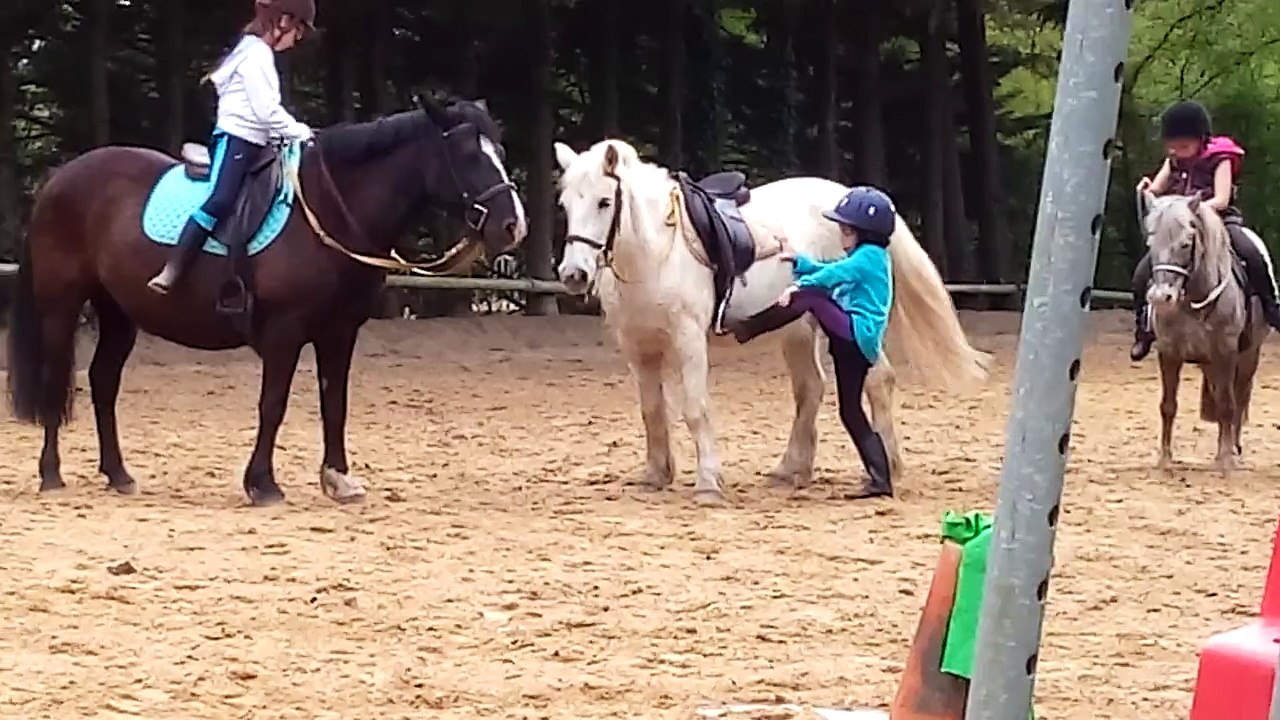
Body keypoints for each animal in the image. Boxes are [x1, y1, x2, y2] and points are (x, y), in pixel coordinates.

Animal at [6, 96, 526, 505]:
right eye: (466, 153)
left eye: (500, 151)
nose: (512, 226)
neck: (329, 213)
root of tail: (58, 179)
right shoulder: (284, 332)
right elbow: (272, 403)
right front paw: (262, 484)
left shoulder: (340, 332)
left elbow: (334, 403)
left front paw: (338, 479)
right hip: (62, 305)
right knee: (56, 379)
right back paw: (51, 475)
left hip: (118, 312)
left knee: (103, 382)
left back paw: (118, 475)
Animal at [553, 138, 990, 505]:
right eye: (565, 205)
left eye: (604, 202)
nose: (573, 274)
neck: (654, 252)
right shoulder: (638, 346)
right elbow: (651, 410)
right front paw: (656, 475)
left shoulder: (688, 339)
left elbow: (695, 408)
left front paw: (708, 484)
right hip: (798, 329)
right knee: (811, 388)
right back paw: (792, 469)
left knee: (878, 380)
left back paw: (887, 467)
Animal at [1140, 191, 1268, 472]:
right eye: (1150, 243)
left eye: (1186, 243)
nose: (1161, 298)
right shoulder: (1169, 352)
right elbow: (1168, 405)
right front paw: (1165, 459)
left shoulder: (1226, 353)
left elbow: (1228, 405)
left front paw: (1226, 460)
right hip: (1209, 363)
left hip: (1248, 356)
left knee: (1239, 398)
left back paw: (1234, 450)